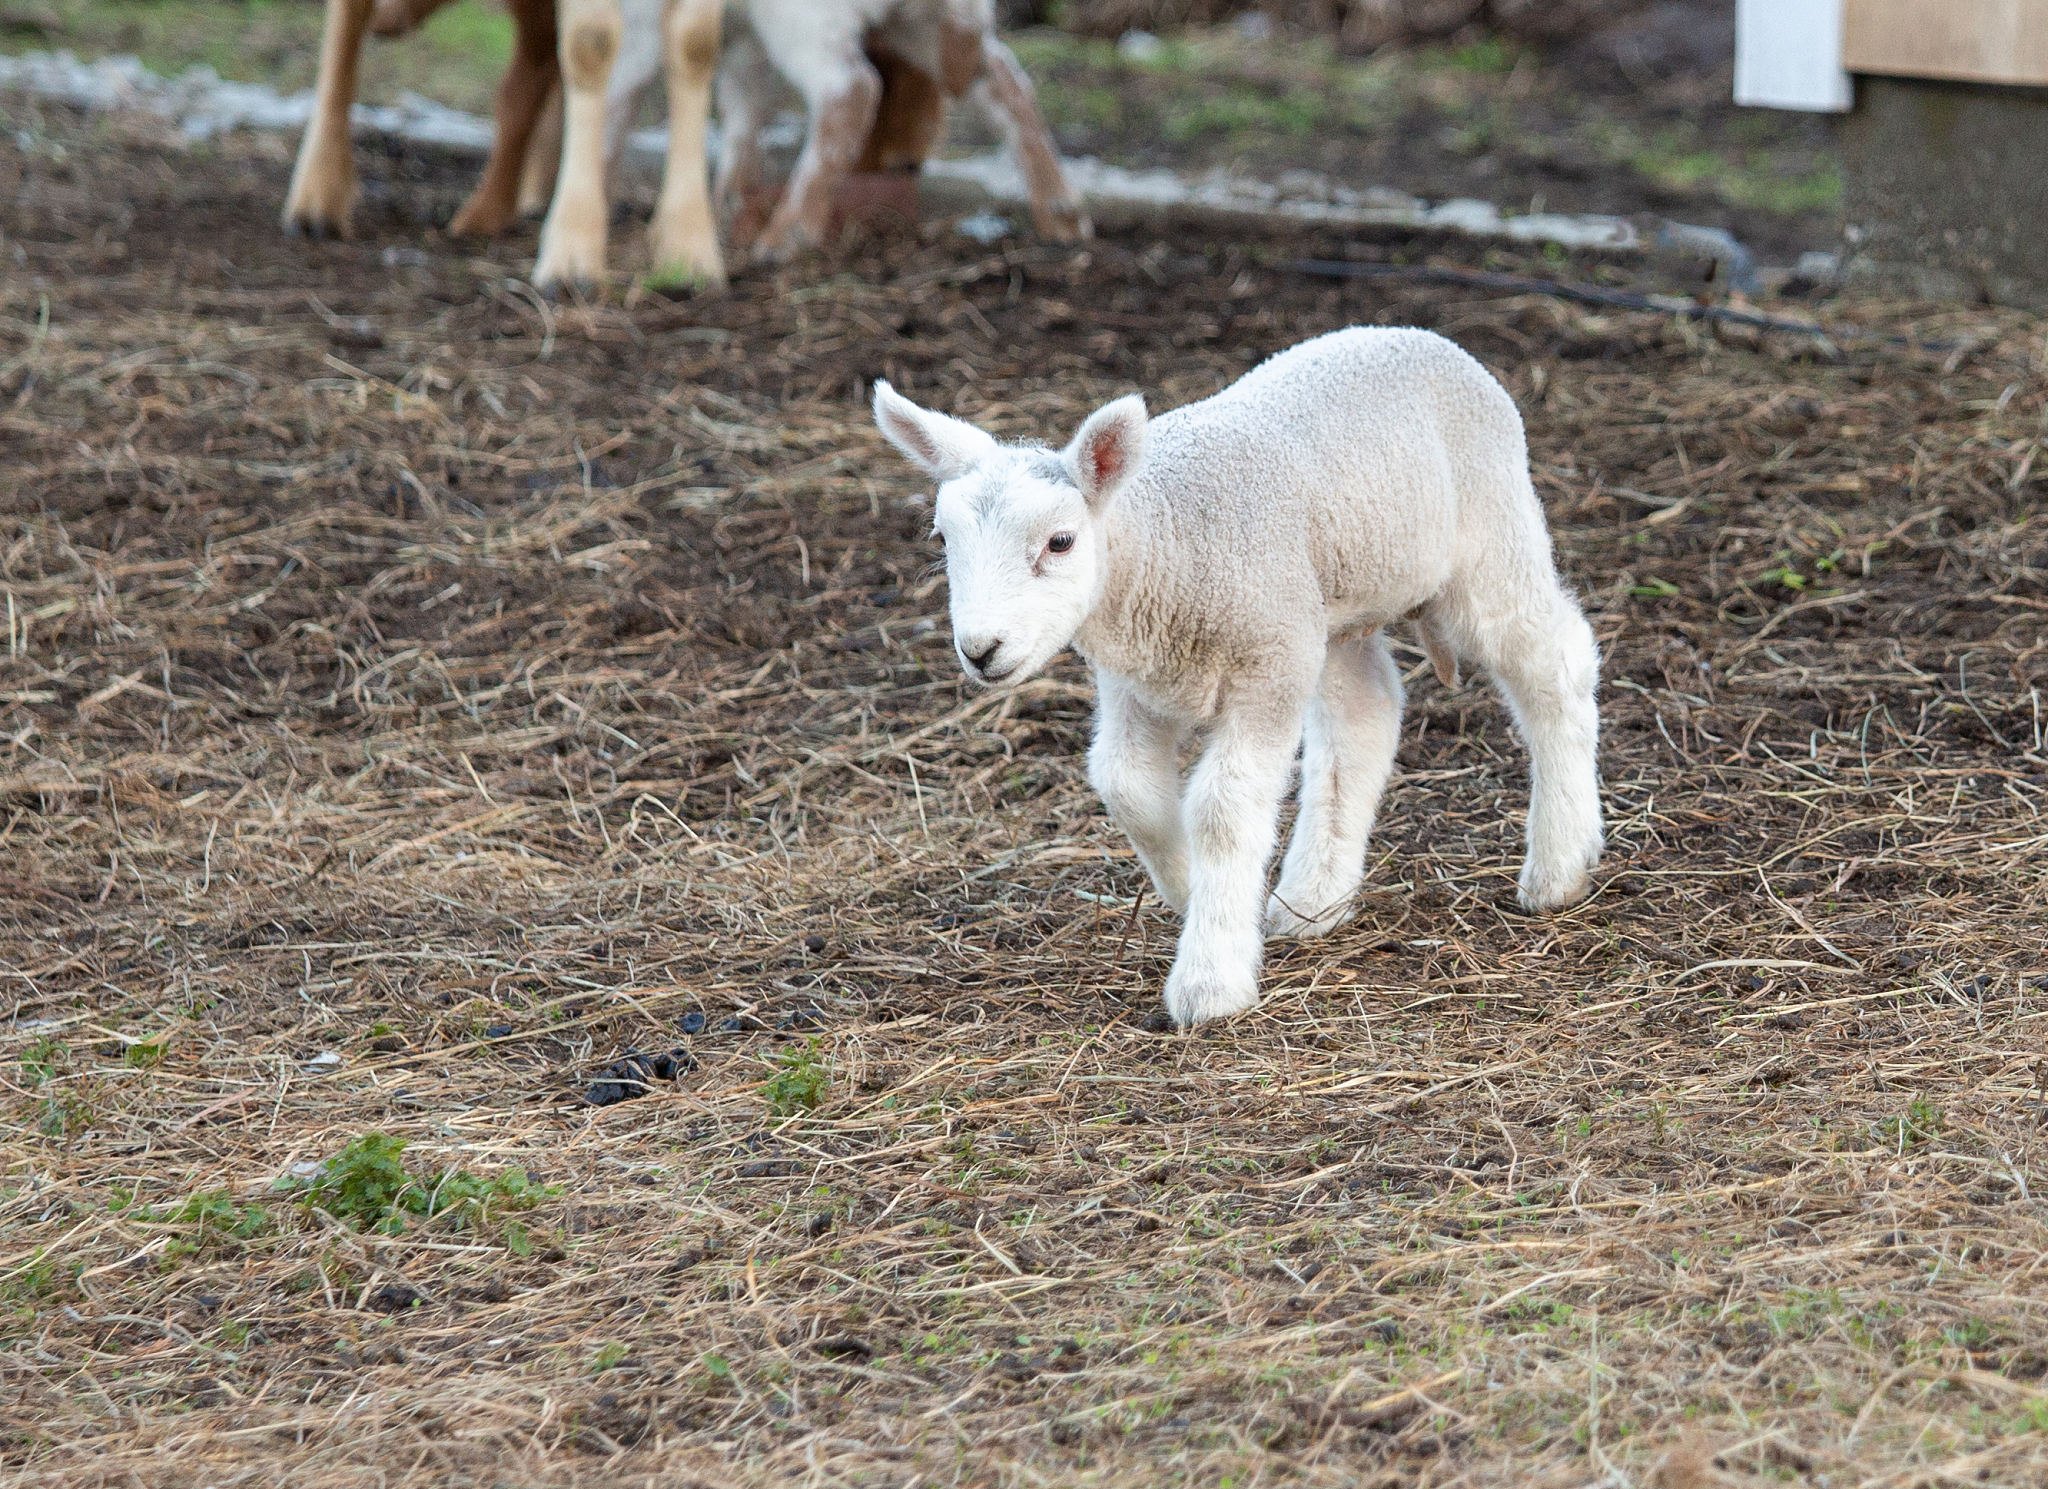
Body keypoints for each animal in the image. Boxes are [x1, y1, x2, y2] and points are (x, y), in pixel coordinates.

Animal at [872, 327, 1604, 1029]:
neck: (1162, 545)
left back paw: (1559, 867)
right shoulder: (1137, 683)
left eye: (1060, 542)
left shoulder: (1266, 668)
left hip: (1486, 540)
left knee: (1555, 662)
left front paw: (1210, 978)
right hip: (1326, 608)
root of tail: (1427, 338)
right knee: (1365, 711)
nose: (980, 649)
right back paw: (1313, 898)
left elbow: (1222, 807)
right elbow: (1126, 784)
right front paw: (1193, 890)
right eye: (942, 540)